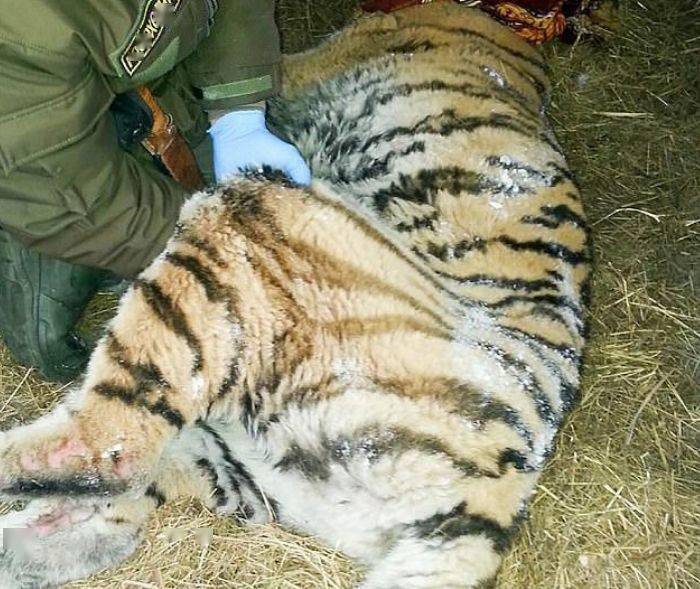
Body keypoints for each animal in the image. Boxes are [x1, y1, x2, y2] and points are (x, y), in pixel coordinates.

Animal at [0, 2, 590, 588]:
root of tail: (499, 486)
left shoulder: (308, 62)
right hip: (230, 458)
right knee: (106, 506)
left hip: (239, 231)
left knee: (110, 446)